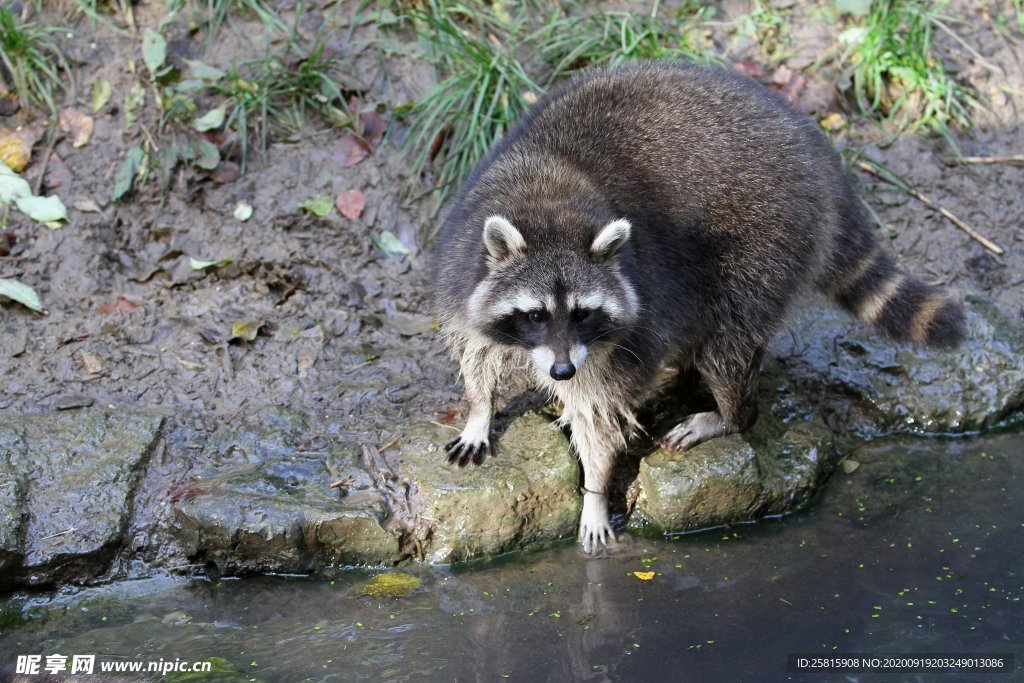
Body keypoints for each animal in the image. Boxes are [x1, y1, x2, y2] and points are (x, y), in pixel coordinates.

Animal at [428, 61, 962, 552]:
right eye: (536, 315)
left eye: (582, 313)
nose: (561, 371)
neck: (548, 200)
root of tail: (818, 156)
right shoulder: (462, 263)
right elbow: (475, 347)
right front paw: (479, 409)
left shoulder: (624, 318)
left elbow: (599, 407)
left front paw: (595, 490)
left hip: (764, 240)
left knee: (729, 341)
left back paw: (731, 413)